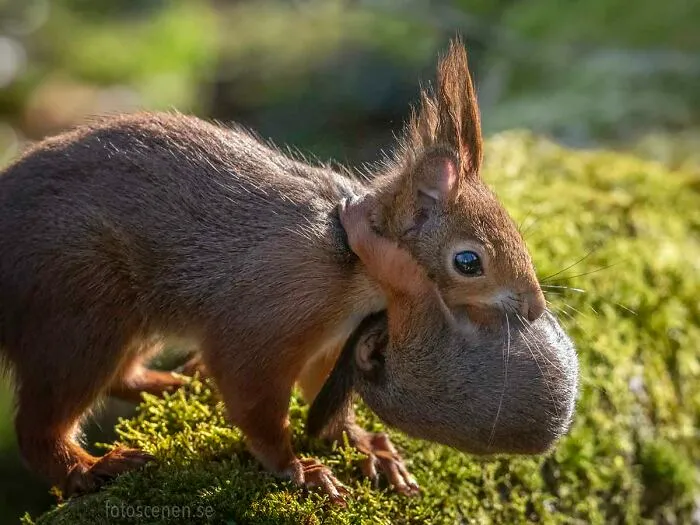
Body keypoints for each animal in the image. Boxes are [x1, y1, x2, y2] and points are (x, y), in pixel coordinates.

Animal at [308, 194, 578, 463]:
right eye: (468, 263)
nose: (536, 310)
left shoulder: (418, 327)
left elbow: (399, 272)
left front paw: (357, 223)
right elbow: (399, 272)